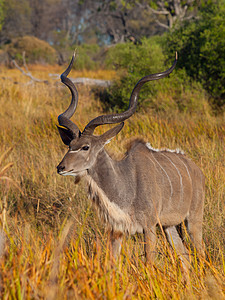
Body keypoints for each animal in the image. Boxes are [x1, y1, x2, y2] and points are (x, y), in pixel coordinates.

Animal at [56, 54, 206, 264]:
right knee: (185, 258)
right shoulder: (117, 230)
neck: (125, 184)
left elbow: (149, 262)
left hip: (193, 220)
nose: (60, 167)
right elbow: (112, 262)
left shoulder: (149, 227)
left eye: (86, 147)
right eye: (69, 145)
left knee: (201, 252)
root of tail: (197, 170)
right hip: (169, 226)